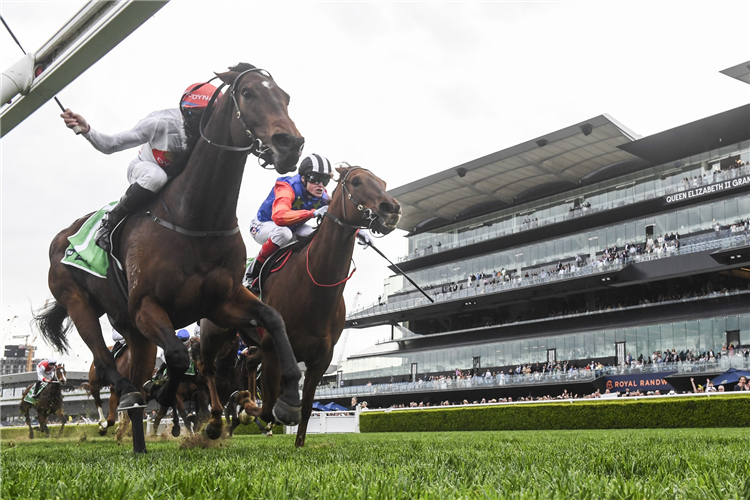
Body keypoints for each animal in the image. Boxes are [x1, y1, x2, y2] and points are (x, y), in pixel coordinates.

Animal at [35, 62, 306, 454]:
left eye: (284, 97)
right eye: (248, 93)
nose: (290, 144)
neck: (196, 218)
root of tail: (61, 238)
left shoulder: (221, 301)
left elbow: (273, 318)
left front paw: (287, 400)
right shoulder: (146, 305)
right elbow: (177, 356)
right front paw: (168, 399)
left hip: (133, 331)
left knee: (135, 371)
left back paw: (139, 440)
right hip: (79, 303)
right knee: (104, 361)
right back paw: (124, 402)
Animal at [200, 166, 400, 448]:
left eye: (383, 182)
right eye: (356, 182)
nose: (391, 208)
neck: (314, 285)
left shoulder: (321, 357)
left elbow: (304, 407)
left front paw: (298, 444)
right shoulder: (274, 349)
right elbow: (267, 408)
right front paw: (245, 406)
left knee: (248, 362)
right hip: (216, 334)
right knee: (208, 370)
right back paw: (216, 421)